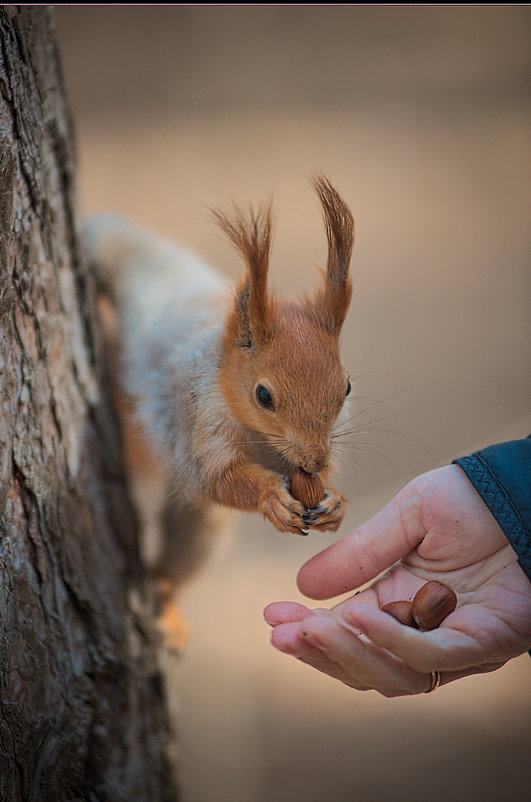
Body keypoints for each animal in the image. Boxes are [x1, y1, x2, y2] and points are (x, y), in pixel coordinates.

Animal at [85, 173, 356, 644]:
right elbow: (212, 477)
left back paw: (167, 603)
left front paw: (334, 501)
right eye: (264, 395)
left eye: (347, 386)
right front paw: (271, 497)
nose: (314, 460)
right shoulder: (197, 418)